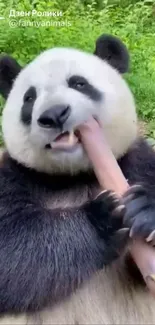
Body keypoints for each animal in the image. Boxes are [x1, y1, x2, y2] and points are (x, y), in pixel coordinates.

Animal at [0, 33, 154, 324]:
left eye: (79, 83)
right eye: (29, 98)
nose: (54, 115)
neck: (76, 176)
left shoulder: (138, 162)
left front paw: (144, 209)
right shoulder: (14, 176)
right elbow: (12, 249)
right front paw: (104, 217)